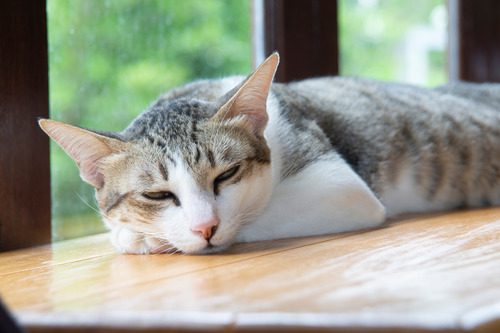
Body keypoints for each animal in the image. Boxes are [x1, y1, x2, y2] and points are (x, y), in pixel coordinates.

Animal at [40, 53, 500, 253]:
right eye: (157, 194)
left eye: (226, 175)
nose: (205, 228)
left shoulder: (341, 186)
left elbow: (255, 215)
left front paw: (141, 236)